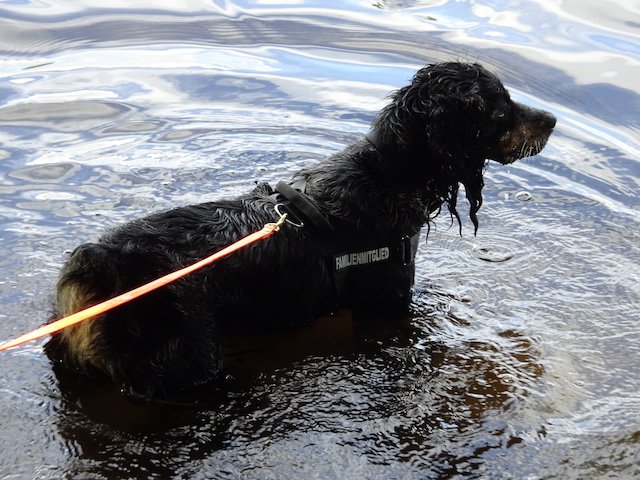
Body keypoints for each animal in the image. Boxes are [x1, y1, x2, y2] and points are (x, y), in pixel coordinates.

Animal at [44, 62, 556, 398]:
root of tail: (95, 268)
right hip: (184, 362)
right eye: (500, 109)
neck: (386, 175)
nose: (552, 120)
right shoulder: (387, 301)